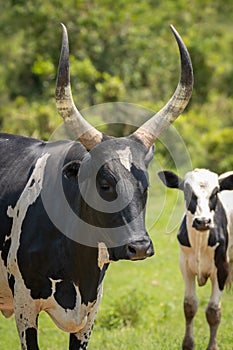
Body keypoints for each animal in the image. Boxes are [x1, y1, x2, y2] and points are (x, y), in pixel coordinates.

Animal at [158, 168, 233, 348]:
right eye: (187, 192)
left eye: (215, 192)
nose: (203, 221)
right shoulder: (185, 266)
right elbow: (189, 306)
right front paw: (188, 344)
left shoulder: (222, 268)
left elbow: (213, 311)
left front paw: (212, 347)